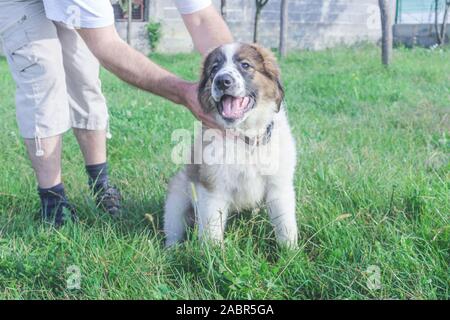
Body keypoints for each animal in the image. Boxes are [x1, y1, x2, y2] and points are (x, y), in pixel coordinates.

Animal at [163, 42, 298, 248]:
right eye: (214, 69)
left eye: (245, 65)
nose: (222, 81)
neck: (245, 138)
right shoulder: (212, 187)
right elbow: (211, 228)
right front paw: (212, 254)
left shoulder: (279, 186)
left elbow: (285, 224)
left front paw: (290, 252)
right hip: (177, 196)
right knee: (173, 226)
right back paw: (171, 248)